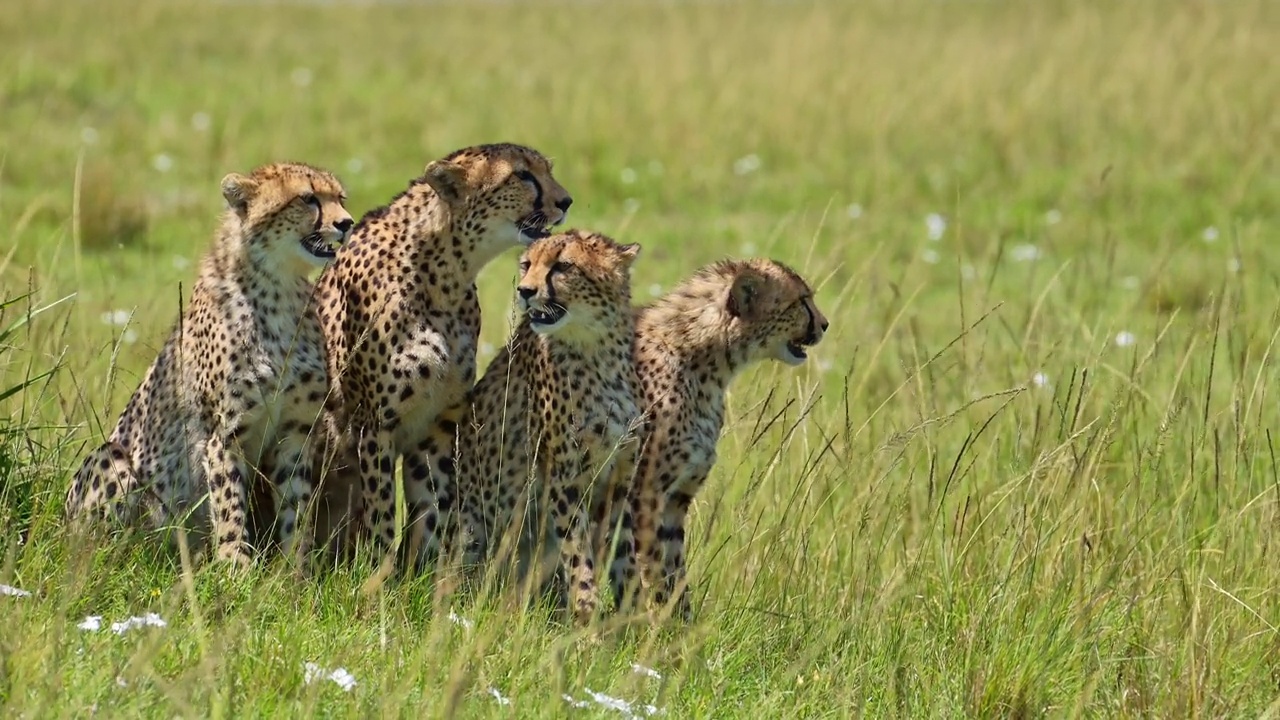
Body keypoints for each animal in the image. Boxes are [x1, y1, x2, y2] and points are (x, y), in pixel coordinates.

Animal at [67, 158, 353, 566]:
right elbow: (229, 501)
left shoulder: (295, 433)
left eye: (340, 198)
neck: (279, 287)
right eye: (307, 198)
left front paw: (295, 568)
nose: (346, 223)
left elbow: (296, 506)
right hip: (115, 462)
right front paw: (236, 566)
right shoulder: (223, 434)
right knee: (102, 544)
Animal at [314, 140, 570, 568]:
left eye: (548, 170)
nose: (566, 201)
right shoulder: (374, 424)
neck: (444, 271)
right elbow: (382, 512)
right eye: (522, 175)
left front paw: (421, 576)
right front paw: (376, 577)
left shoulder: (438, 424)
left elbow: (433, 511)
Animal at [455, 229, 645, 622]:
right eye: (527, 264)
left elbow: (625, 556)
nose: (525, 291)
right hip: (471, 528)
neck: (596, 350)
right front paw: (587, 616)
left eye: (562, 267)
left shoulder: (618, 478)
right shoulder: (563, 478)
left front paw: (637, 620)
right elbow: (578, 553)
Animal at [629, 257, 829, 617]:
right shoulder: (644, 495)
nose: (824, 324)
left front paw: (682, 626)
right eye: (801, 301)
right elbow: (652, 571)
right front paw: (655, 624)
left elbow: (675, 574)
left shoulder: (674, 500)